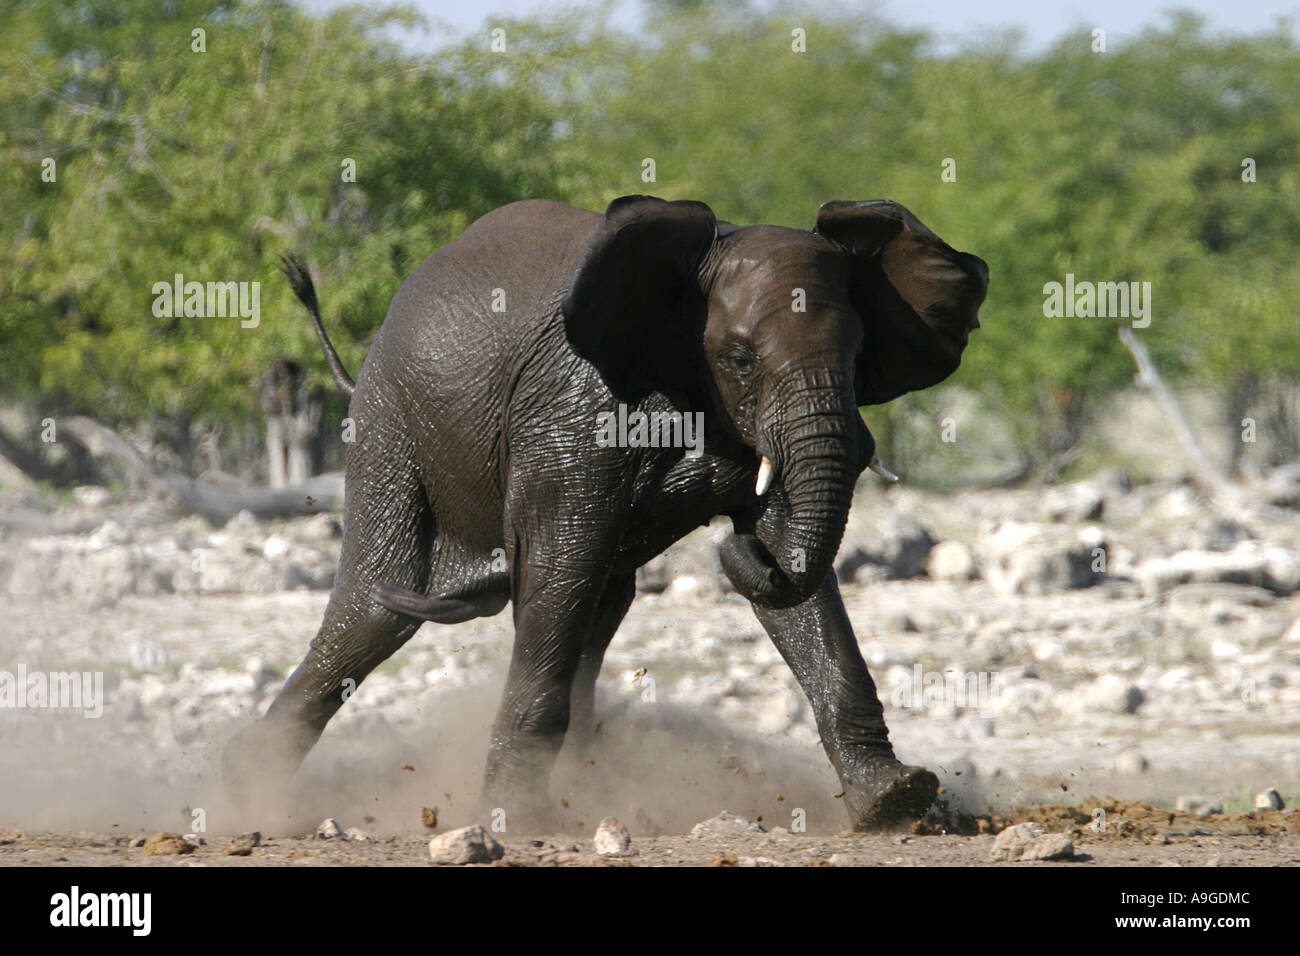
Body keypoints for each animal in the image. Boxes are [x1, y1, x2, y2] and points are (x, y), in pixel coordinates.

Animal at [222, 194, 989, 832]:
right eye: (739, 359)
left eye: (859, 357)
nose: (729, 550)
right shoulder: (576, 413)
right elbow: (564, 555)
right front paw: (514, 820)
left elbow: (795, 579)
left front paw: (896, 801)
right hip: (388, 425)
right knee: (376, 610)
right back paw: (243, 796)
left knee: (595, 609)